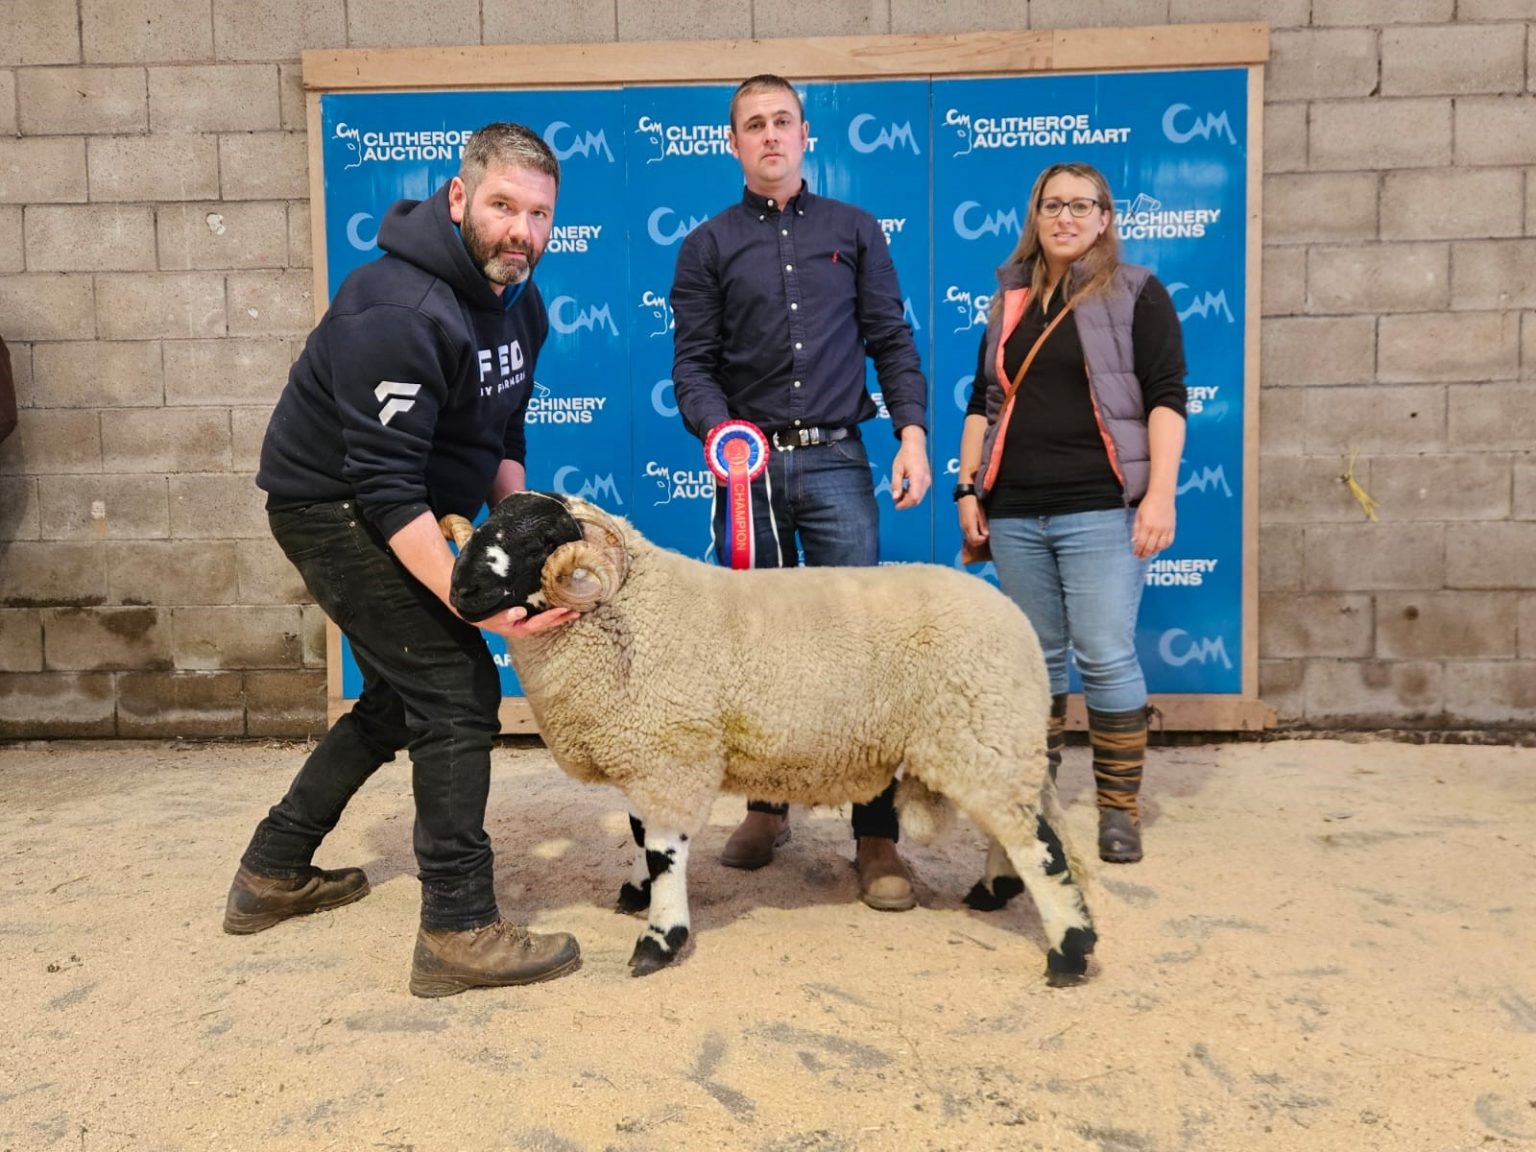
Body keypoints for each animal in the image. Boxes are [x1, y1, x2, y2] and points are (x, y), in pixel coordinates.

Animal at [439, 491, 1099, 989]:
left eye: (537, 542)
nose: (459, 592)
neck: (630, 610)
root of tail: (1015, 619)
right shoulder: (646, 754)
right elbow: (638, 832)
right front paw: (635, 892)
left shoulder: (672, 756)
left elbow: (663, 850)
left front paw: (660, 939)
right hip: (988, 741)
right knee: (1017, 828)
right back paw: (993, 891)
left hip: (980, 733)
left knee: (1040, 846)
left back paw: (1070, 951)